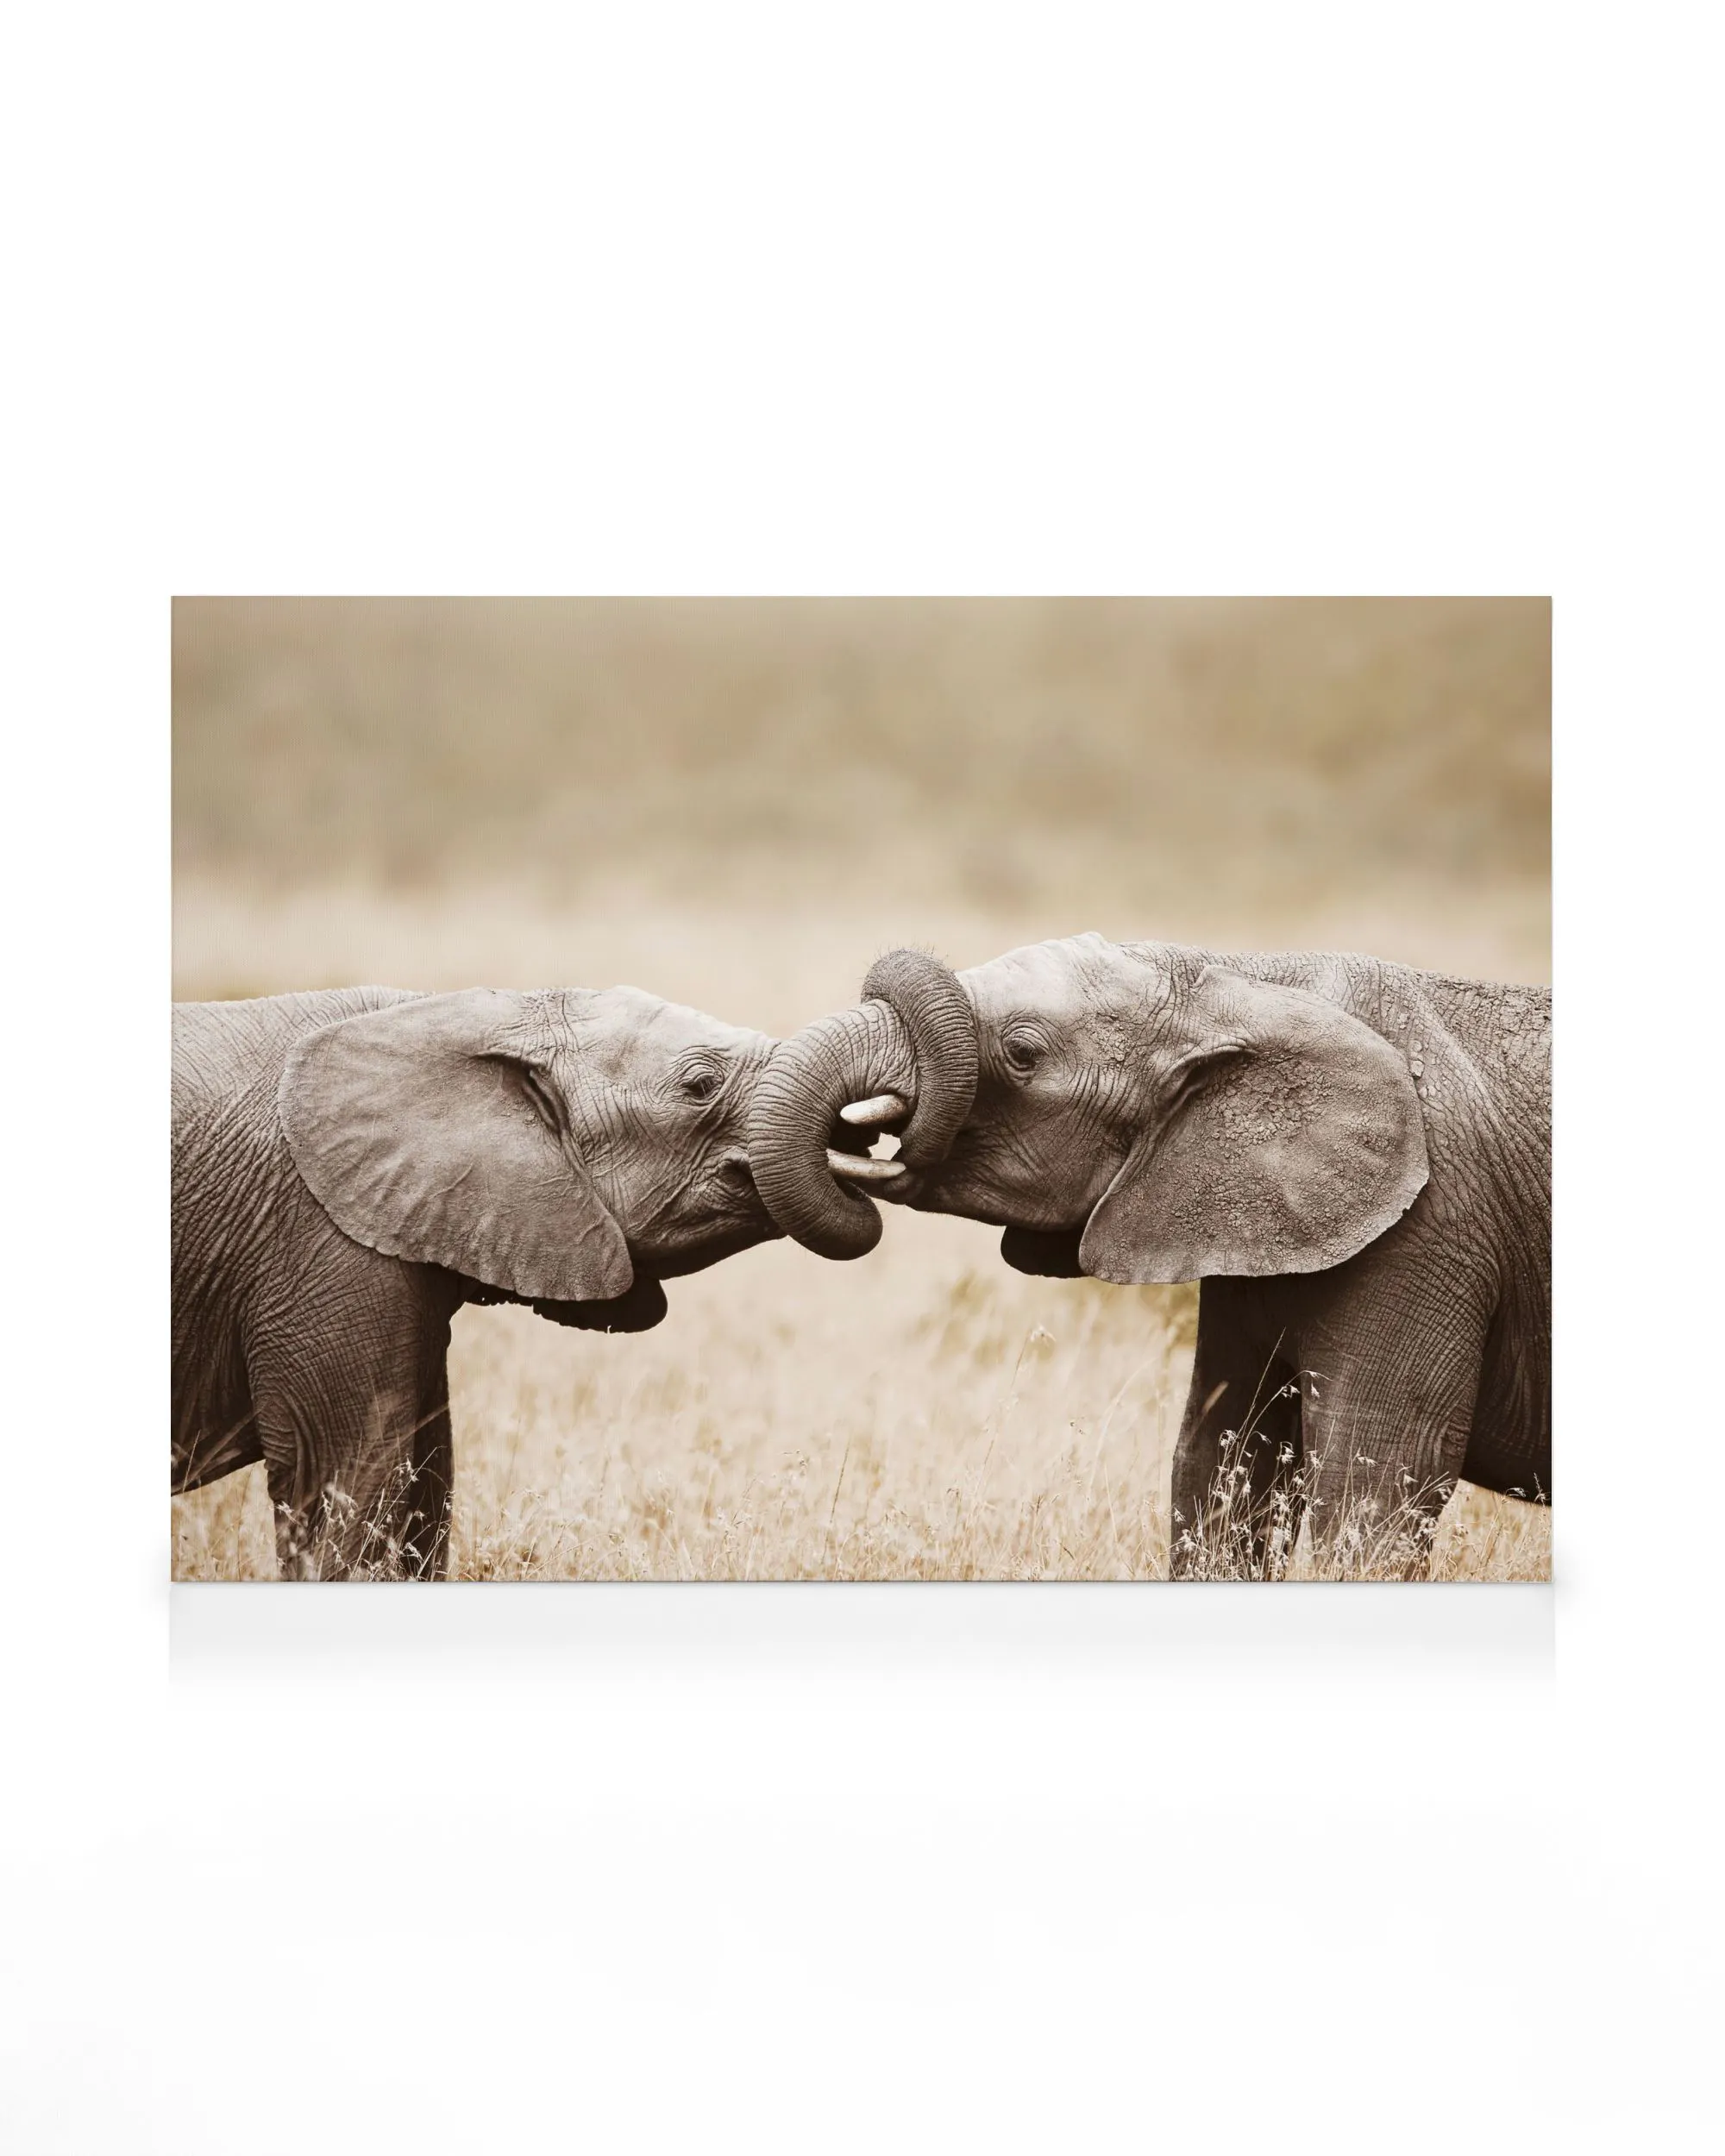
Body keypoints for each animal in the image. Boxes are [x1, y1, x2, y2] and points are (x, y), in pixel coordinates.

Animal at [750, 938, 1550, 1577]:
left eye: (1023, 1054)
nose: (856, 1140)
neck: (1241, 980)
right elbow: (1222, 1463)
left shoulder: (1429, 1234)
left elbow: (1377, 1483)